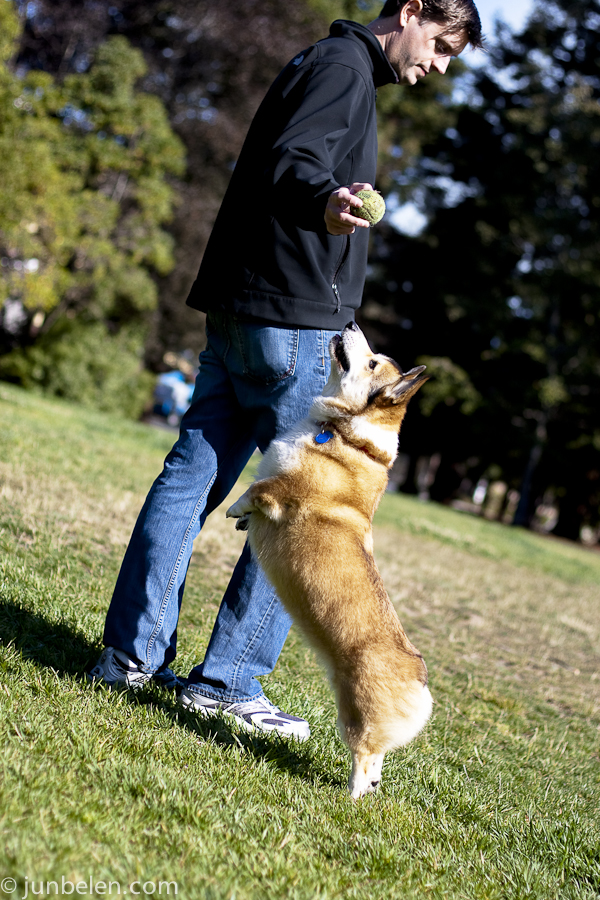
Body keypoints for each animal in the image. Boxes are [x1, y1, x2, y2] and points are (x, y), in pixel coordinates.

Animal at [226, 320, 432, 800]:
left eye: (372, 363)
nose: (351, 323)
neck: (346, 432)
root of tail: (418, 677)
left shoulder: (282, 490)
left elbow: (255, 490)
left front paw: (236, 510)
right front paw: (243, 521)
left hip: (355, 717)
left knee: (366, 755)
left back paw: (351, 795)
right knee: (377, 763)